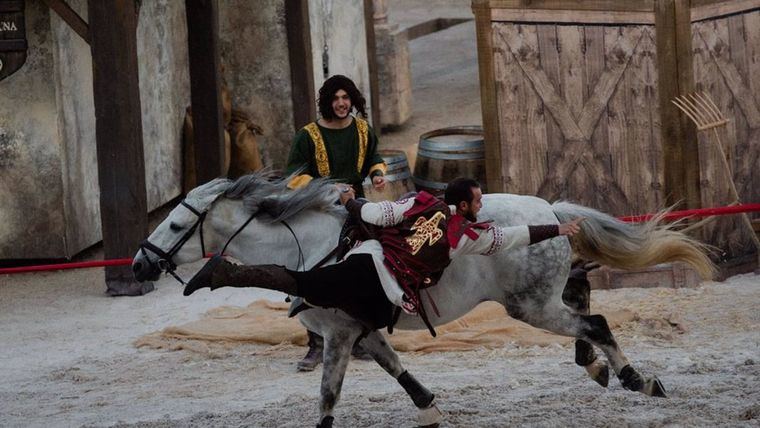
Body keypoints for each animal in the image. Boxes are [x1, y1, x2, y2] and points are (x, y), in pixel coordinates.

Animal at [132, 172, 712, 426]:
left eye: (177, 225)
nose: (139, 264)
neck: (311, 250)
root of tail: (549, 210)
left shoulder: (339, 331)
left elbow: (328, 395)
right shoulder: (360, 329)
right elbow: (393, 367)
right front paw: (428, 405)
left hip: (530, 307)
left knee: (595, 323)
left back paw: (637, 378)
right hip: (541, 298)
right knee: (585, 297)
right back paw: (596, 366)